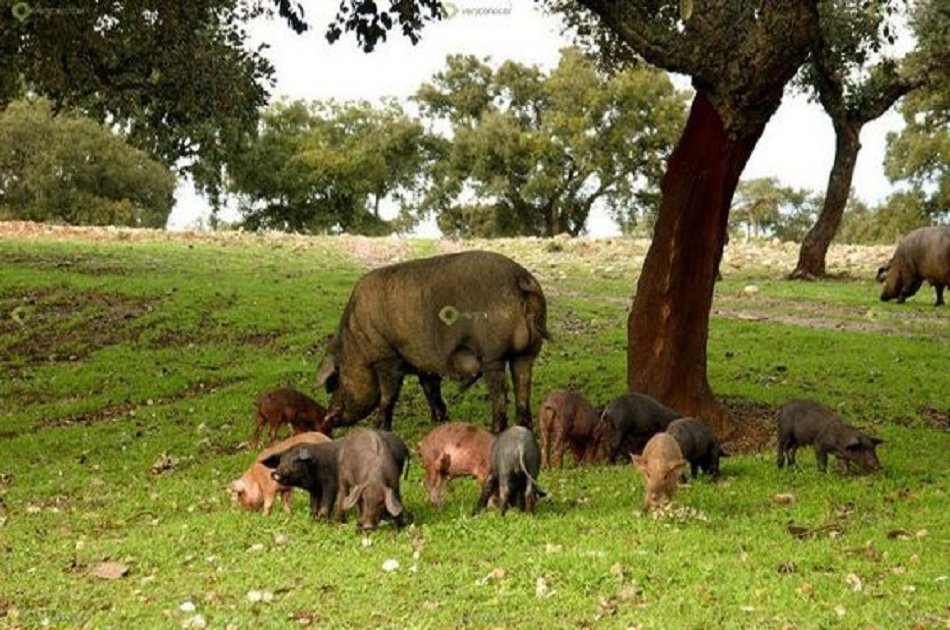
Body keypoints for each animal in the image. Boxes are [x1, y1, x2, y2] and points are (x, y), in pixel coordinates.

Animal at [314, 250, 548, 433]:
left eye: (334, 382)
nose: (327, 416)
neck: (355, 345)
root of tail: (520, 278)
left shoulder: (387, 357)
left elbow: (388, 396)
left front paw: (379, 428)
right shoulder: (423, 362)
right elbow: (430, 388)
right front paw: (439, 420)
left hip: (492, 353)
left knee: (500, 390)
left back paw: (495, 431)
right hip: (527, 352)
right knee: (523, 383)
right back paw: (523, 428)